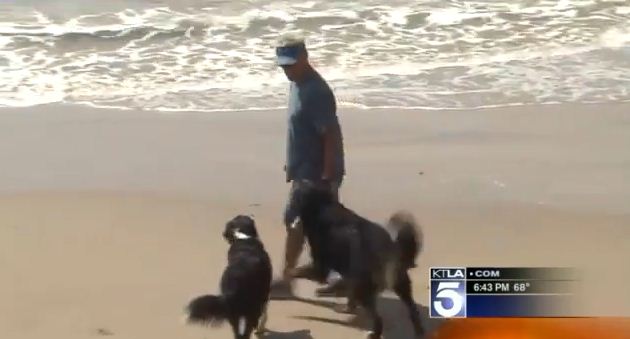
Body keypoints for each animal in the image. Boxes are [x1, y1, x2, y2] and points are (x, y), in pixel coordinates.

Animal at [288, 183, 428, 339]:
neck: (323, 205)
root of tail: (389, 250)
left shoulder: (319, 268)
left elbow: (295, 271)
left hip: (365, 290)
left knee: (378, 318)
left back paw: (374, 333)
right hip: (400, 284)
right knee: (412, 308)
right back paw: (419, 331)